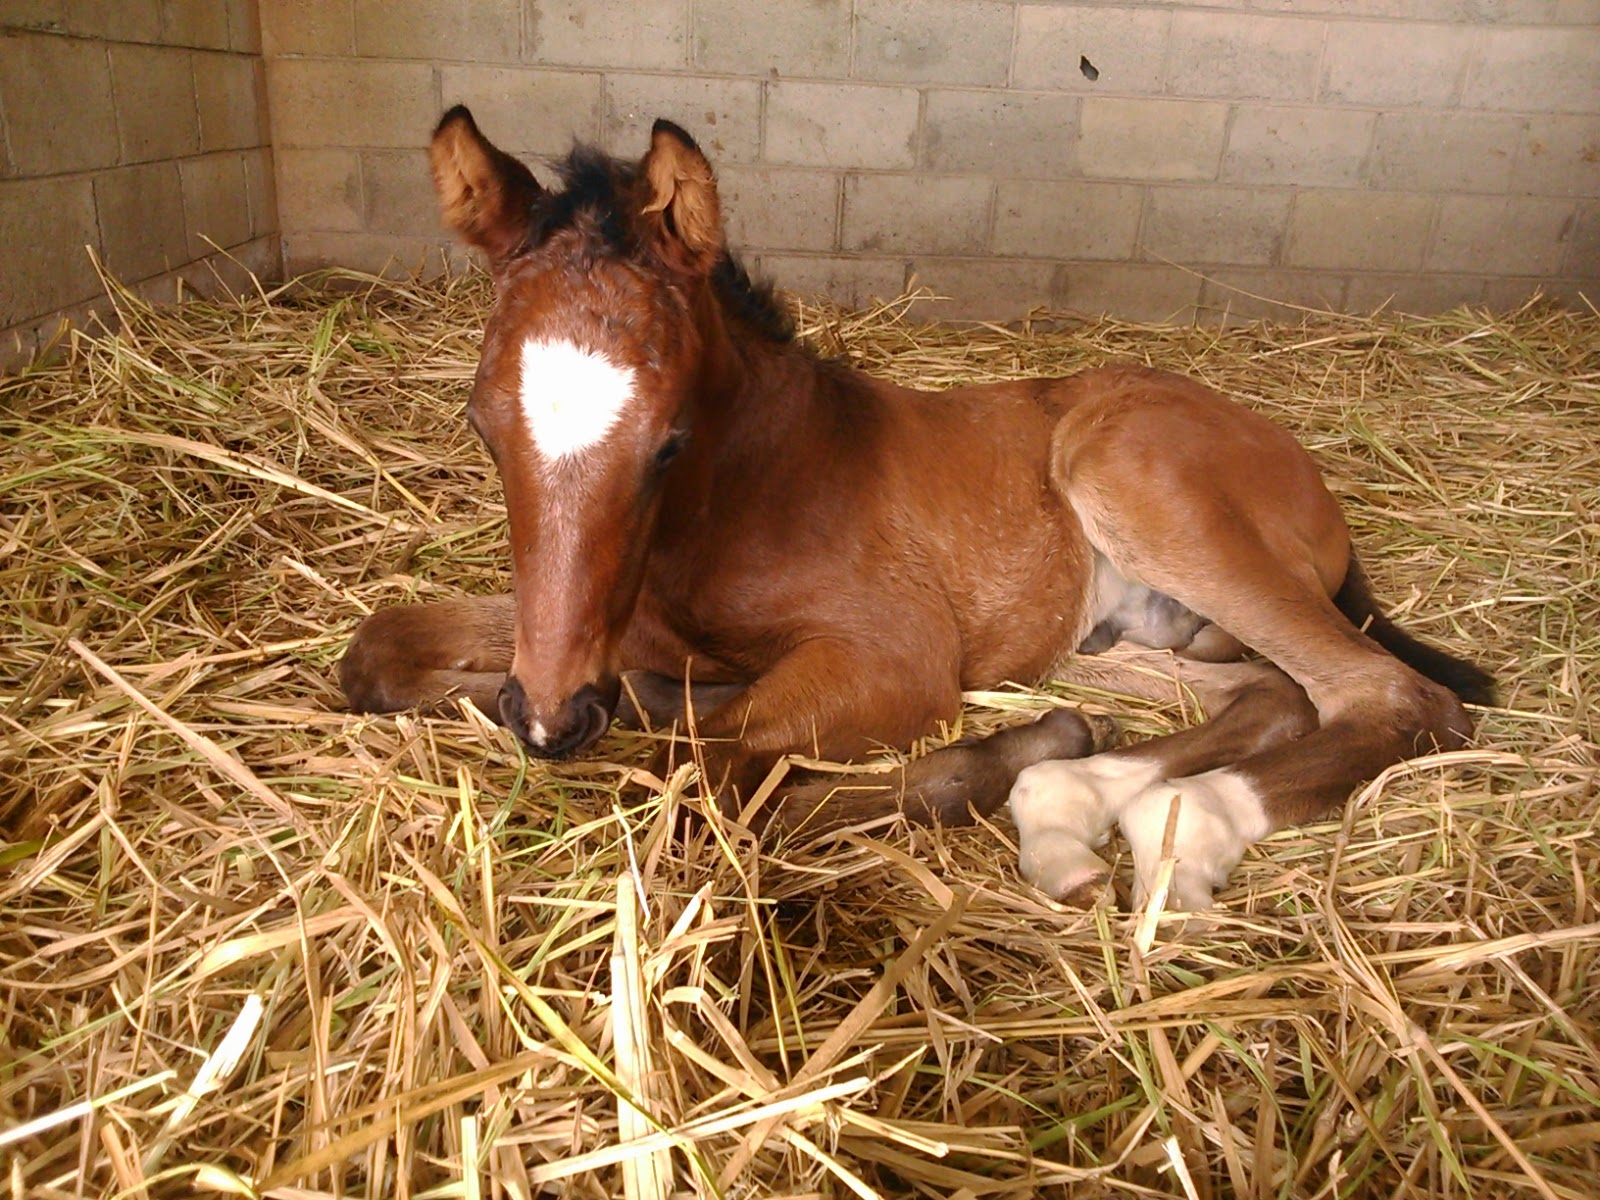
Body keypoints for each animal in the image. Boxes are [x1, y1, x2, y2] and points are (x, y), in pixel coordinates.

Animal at [340, 110, 1497, 908]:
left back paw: (1169, 814)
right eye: (482, 426)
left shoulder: (896, 657)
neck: (742, 494)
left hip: (1133, 483)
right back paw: (1078, 793)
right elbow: (377, 652)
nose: (553, 718)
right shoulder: (593, 625)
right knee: (1268, 693)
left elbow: (696, 784)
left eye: (667, 440)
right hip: (1107, 635)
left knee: (1393, 696)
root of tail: (1289, 455)